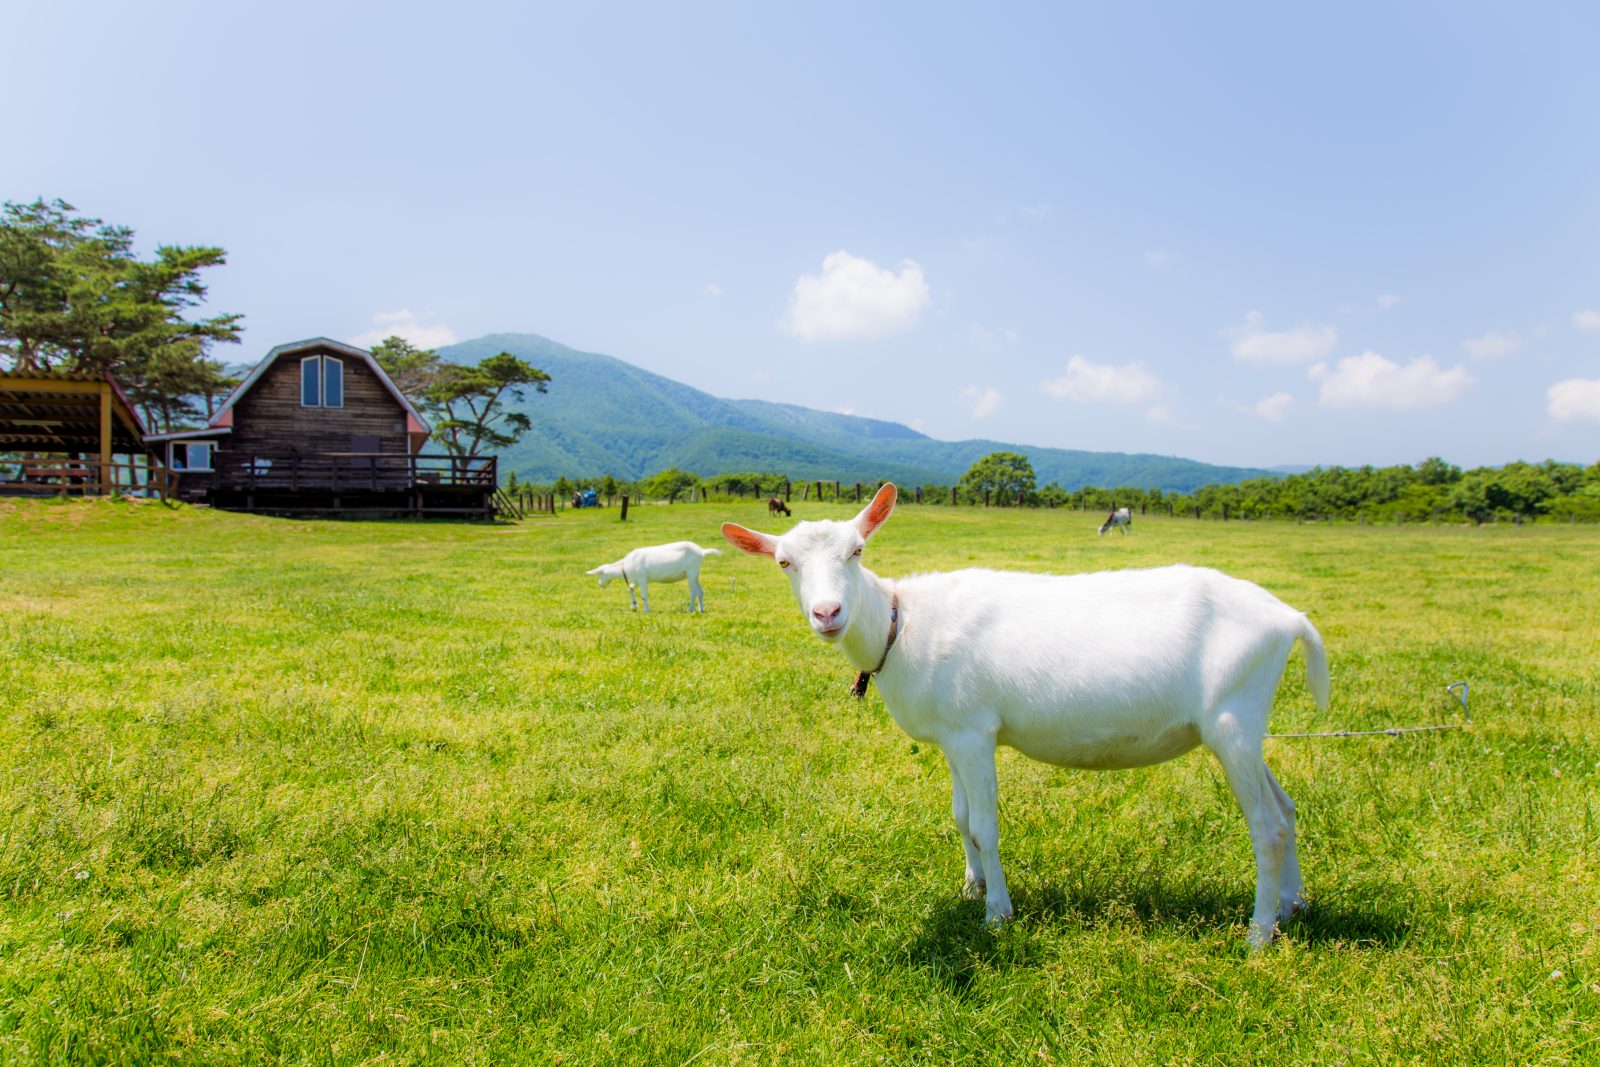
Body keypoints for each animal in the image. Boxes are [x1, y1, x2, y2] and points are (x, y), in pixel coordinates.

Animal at [585, 543, 723, 617]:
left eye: (599, 575)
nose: (600, 585)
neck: (626, 565)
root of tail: (702, 551)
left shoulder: (643, 579)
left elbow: (644, 596)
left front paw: (646, 611)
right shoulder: (637, 580)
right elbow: (630, 588)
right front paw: (634, 606)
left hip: (690, 571)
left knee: (693, 592)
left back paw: (691, 609)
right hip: (696, 574)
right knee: (700, 592)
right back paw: (701, 609)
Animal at [723, 483, 1324, 953]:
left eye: (857, 550)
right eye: (784, 563)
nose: (828, 613)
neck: (902, 624)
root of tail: (1288, 617)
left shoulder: (974, 732)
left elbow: (985, 825)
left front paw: (997, 914)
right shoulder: (952, 735)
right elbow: (961, 816)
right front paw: (971, 888)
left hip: (1231, 717)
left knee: (1267, 826)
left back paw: (1256, 935)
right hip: (1241, 724)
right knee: (1288, 808)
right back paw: (1292, 906)